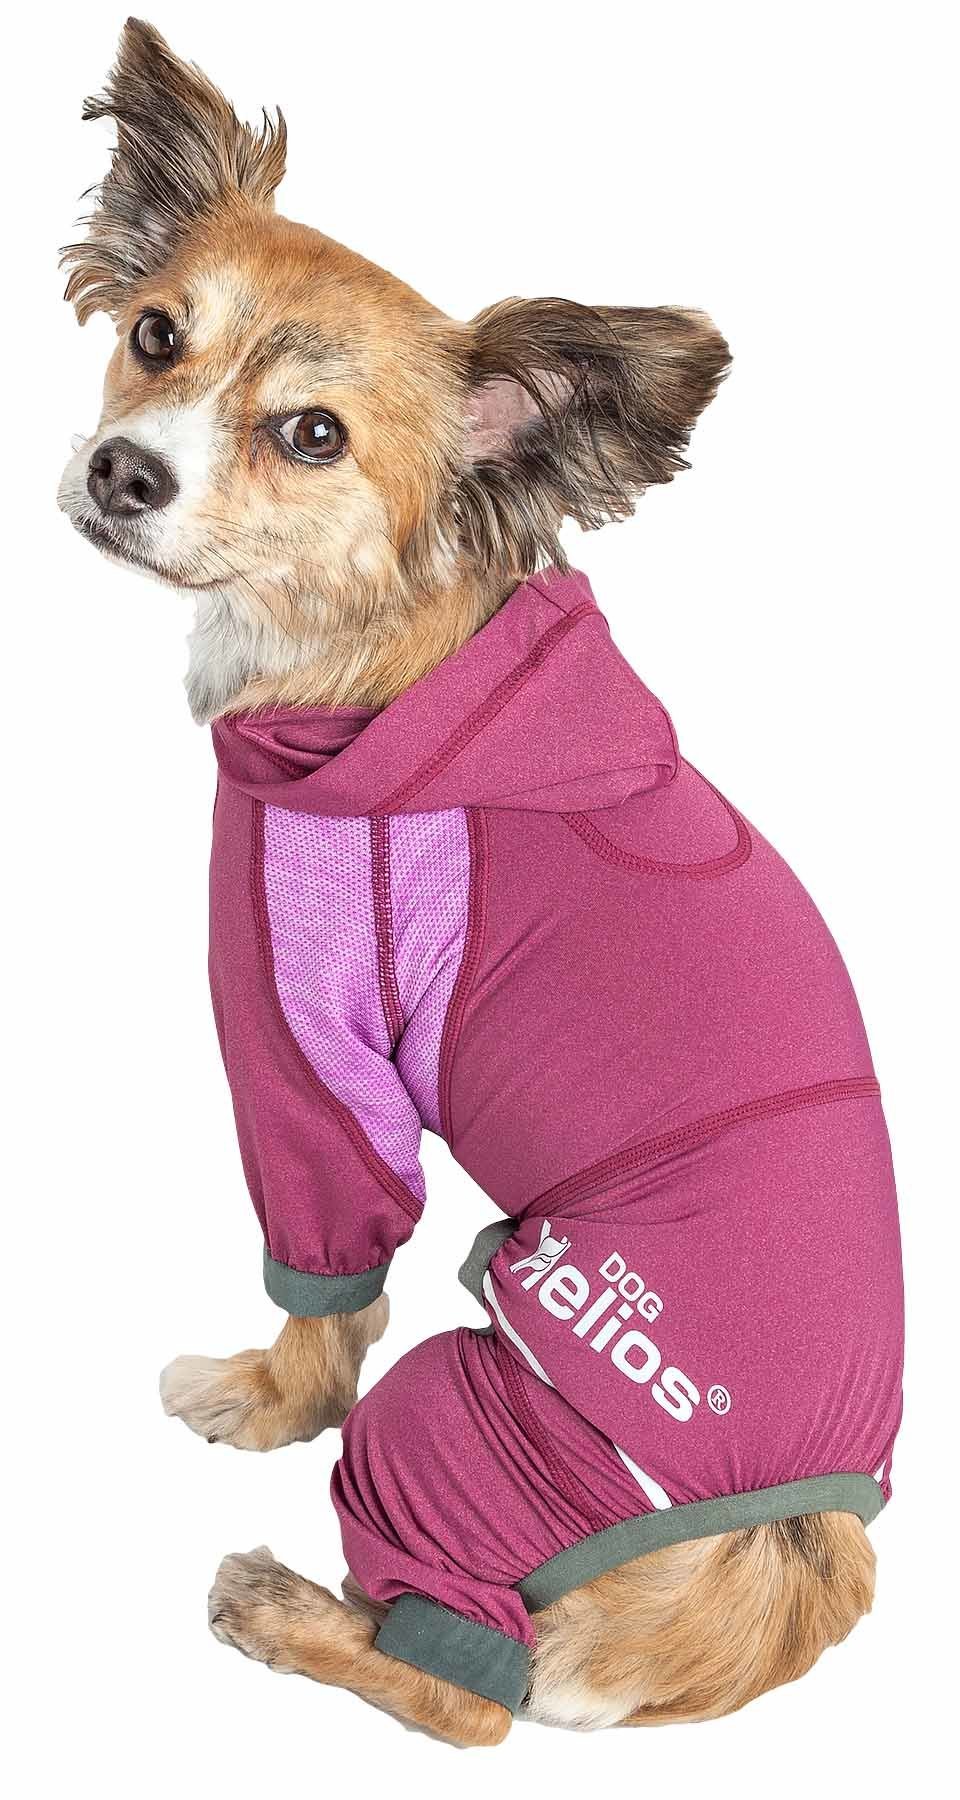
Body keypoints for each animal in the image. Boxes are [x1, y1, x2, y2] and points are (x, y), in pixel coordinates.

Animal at [58, 21, 903, 1747]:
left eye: (311, 434)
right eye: (158, 338)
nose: (120, 470)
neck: (392, 671)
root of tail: (800, 1566)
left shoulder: (306, 1059)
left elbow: (323, 1292)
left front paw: (261, 1399)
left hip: (466, 1414)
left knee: (467, 1695)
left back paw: (282, 1611)